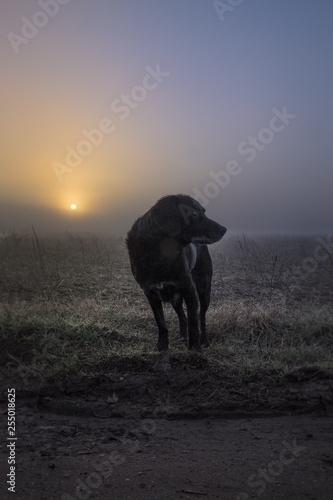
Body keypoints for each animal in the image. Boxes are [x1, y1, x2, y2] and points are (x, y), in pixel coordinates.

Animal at [125, 195, 226, 352]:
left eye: (203, 212)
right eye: (194, 213)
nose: (224, 229)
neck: (160, 252)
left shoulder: (190, 291)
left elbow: (193, 323)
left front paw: (195, 349)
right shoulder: (151, 293)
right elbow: (161, 323)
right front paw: (162, 345)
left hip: (204, 290)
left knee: (201, 317)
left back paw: (204, 340)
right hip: (175, 298)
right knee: (182, 317)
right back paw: (183, 338)